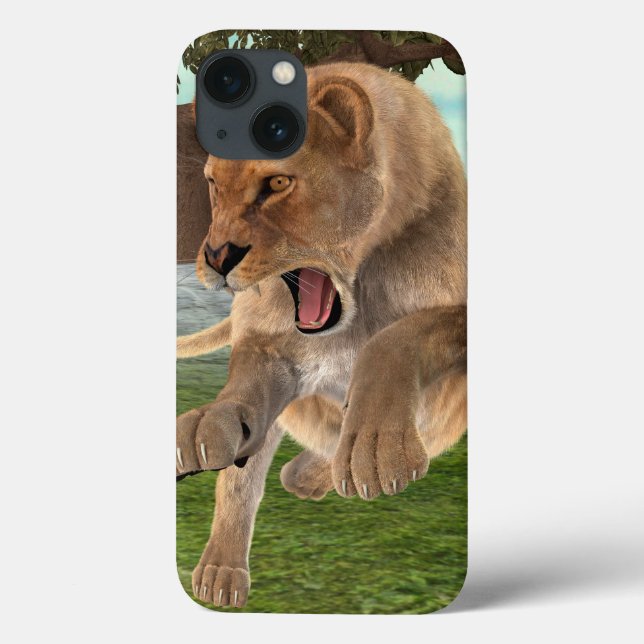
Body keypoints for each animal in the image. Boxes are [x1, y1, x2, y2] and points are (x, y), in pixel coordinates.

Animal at [176, 62, 467, 608]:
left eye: (278, 182)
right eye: (213, 184)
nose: (217, 258)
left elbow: (400, 336)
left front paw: (376, 448)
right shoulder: (269, 343)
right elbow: (243, 402)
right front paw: (210, 423)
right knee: (247, 478)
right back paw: (220, 573)